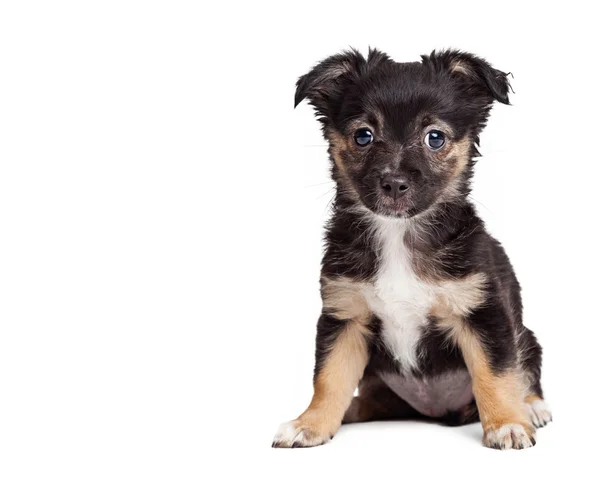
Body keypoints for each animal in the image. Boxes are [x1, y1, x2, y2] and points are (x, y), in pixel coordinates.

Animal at [274, 47, 552, 450]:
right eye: (363, 136)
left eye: (434, 138)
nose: (393, 182)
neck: (398, 233)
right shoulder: (345, 318)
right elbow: (328, 378)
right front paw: (309, 424)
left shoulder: (483, 314)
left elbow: (496, 373)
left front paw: (507, 424)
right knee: (372, 399)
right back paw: (350, 411)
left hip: (525, 336)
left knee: (523, 371)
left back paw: (531, 407)